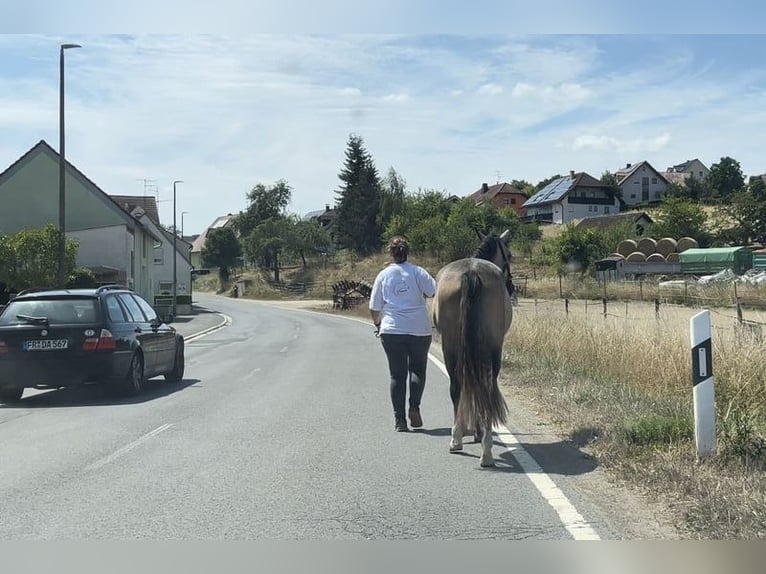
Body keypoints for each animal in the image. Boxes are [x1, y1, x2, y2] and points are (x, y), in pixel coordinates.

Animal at [432, 230, 516, 468]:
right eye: (509, 254)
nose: (511, 286)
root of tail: (471, 273)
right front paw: (477, 431)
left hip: (450, 345)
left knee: (456, 387)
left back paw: (456, 439)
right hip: (494, 347)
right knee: (486, 388)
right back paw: (485, 449)